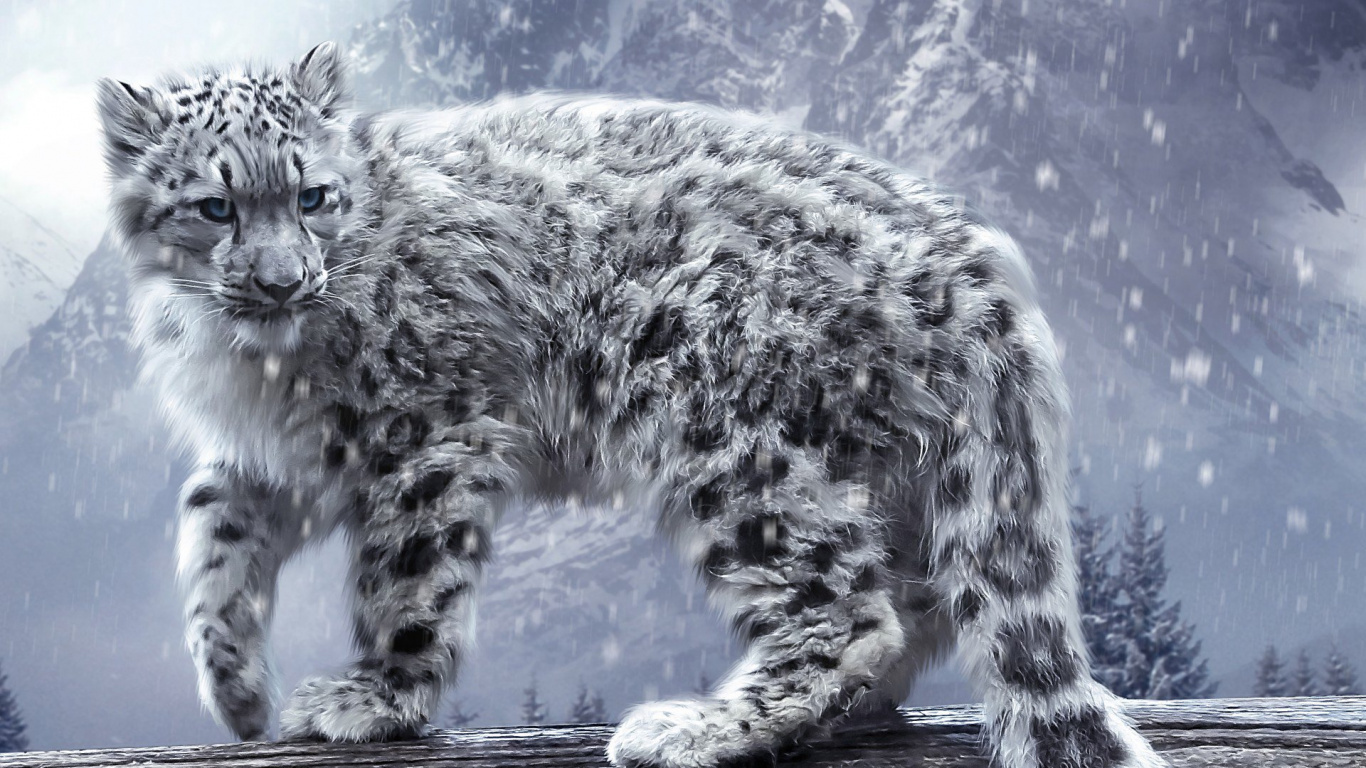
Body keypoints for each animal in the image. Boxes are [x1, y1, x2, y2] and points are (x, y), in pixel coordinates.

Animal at [95, 42, 1166, 768]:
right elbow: (212, 530)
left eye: (313, 196)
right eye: (217, 206)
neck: (253, 364)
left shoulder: (422, 435)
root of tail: (973, 264)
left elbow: (403, 579)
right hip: (884, 464)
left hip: (729, 437)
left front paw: (375, 698)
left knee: (850, 605)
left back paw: (696, 725)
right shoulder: (282, 453)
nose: (283, 282)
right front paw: (235, 690)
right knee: (924, 596)